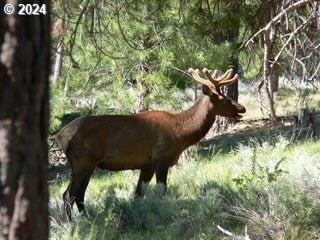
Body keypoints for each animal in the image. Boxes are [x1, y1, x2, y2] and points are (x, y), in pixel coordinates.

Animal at [57, 67, 245, 221]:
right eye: (224, 99)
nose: (242, 108)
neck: (181, 134)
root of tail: (60, 136)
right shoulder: (161, 160)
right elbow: (162, 192)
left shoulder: (147, 165)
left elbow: (138, 194)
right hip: (82, 162)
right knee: (69, 195)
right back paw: (73, 224)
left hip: (87, 165)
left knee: (79, 195)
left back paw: (88, 220)